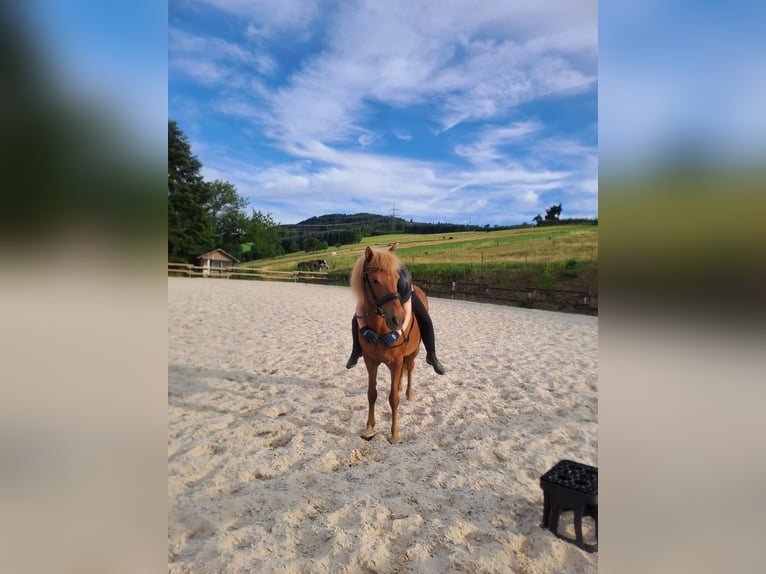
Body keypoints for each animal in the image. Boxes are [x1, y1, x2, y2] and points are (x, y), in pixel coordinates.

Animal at [350, 244, 428, 443]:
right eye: (375, 280)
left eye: (396, 280)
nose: (398, 319)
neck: (379, 329)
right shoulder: (370, 361)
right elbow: (372, 394)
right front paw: (369, 428)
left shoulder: (397, 361)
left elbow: (393, 399)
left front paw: (394, 433)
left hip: (413, 354)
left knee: (410, 371)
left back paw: (408, 393)